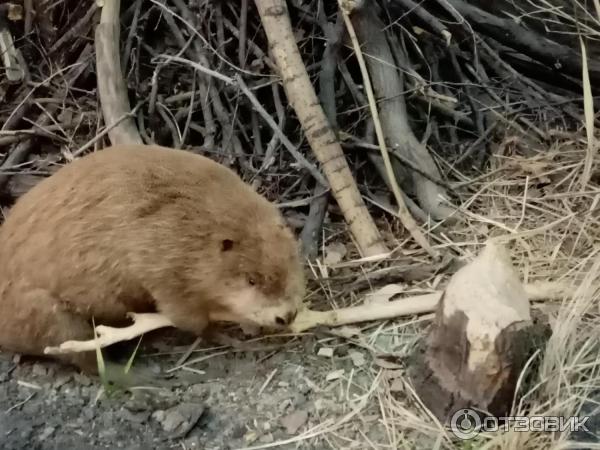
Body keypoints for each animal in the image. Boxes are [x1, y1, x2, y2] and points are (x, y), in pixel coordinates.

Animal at [0, 145, 304, 372]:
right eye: (251, 279)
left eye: (291, 263)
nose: (286, 316)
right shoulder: (161, 261)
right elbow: (187, 318)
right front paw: (234, 336)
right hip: (41, 311)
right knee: (78, 352)